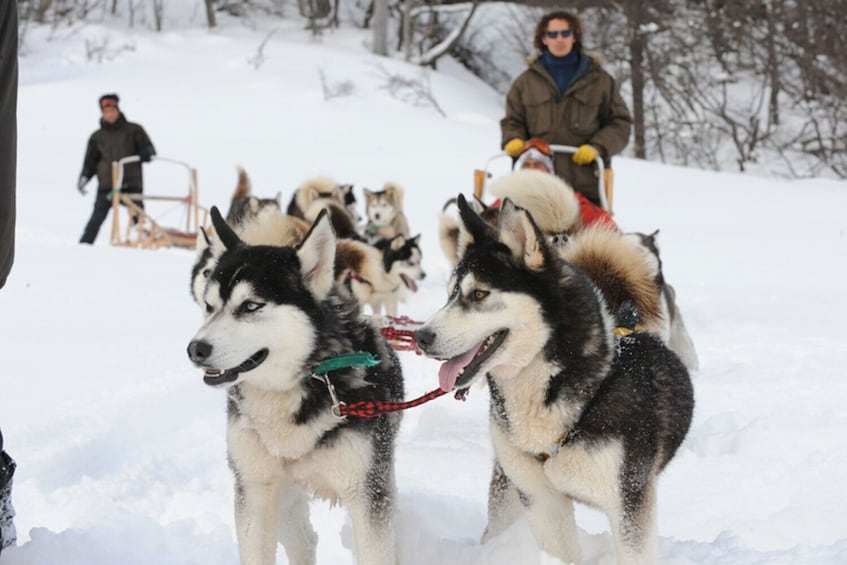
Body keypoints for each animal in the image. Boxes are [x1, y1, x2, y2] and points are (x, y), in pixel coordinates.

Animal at [188, 207, 404, 564]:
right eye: (208, 305)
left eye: (251, 306)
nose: (195, 349)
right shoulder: (255, 490)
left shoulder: (368, 494)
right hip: (283, 496)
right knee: (303, 541)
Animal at [414, 196, 692, 560]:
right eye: (449, 295)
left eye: (478, 295)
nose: (420, 337)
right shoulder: (542, 501)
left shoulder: (630, 503)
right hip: (509, 489)